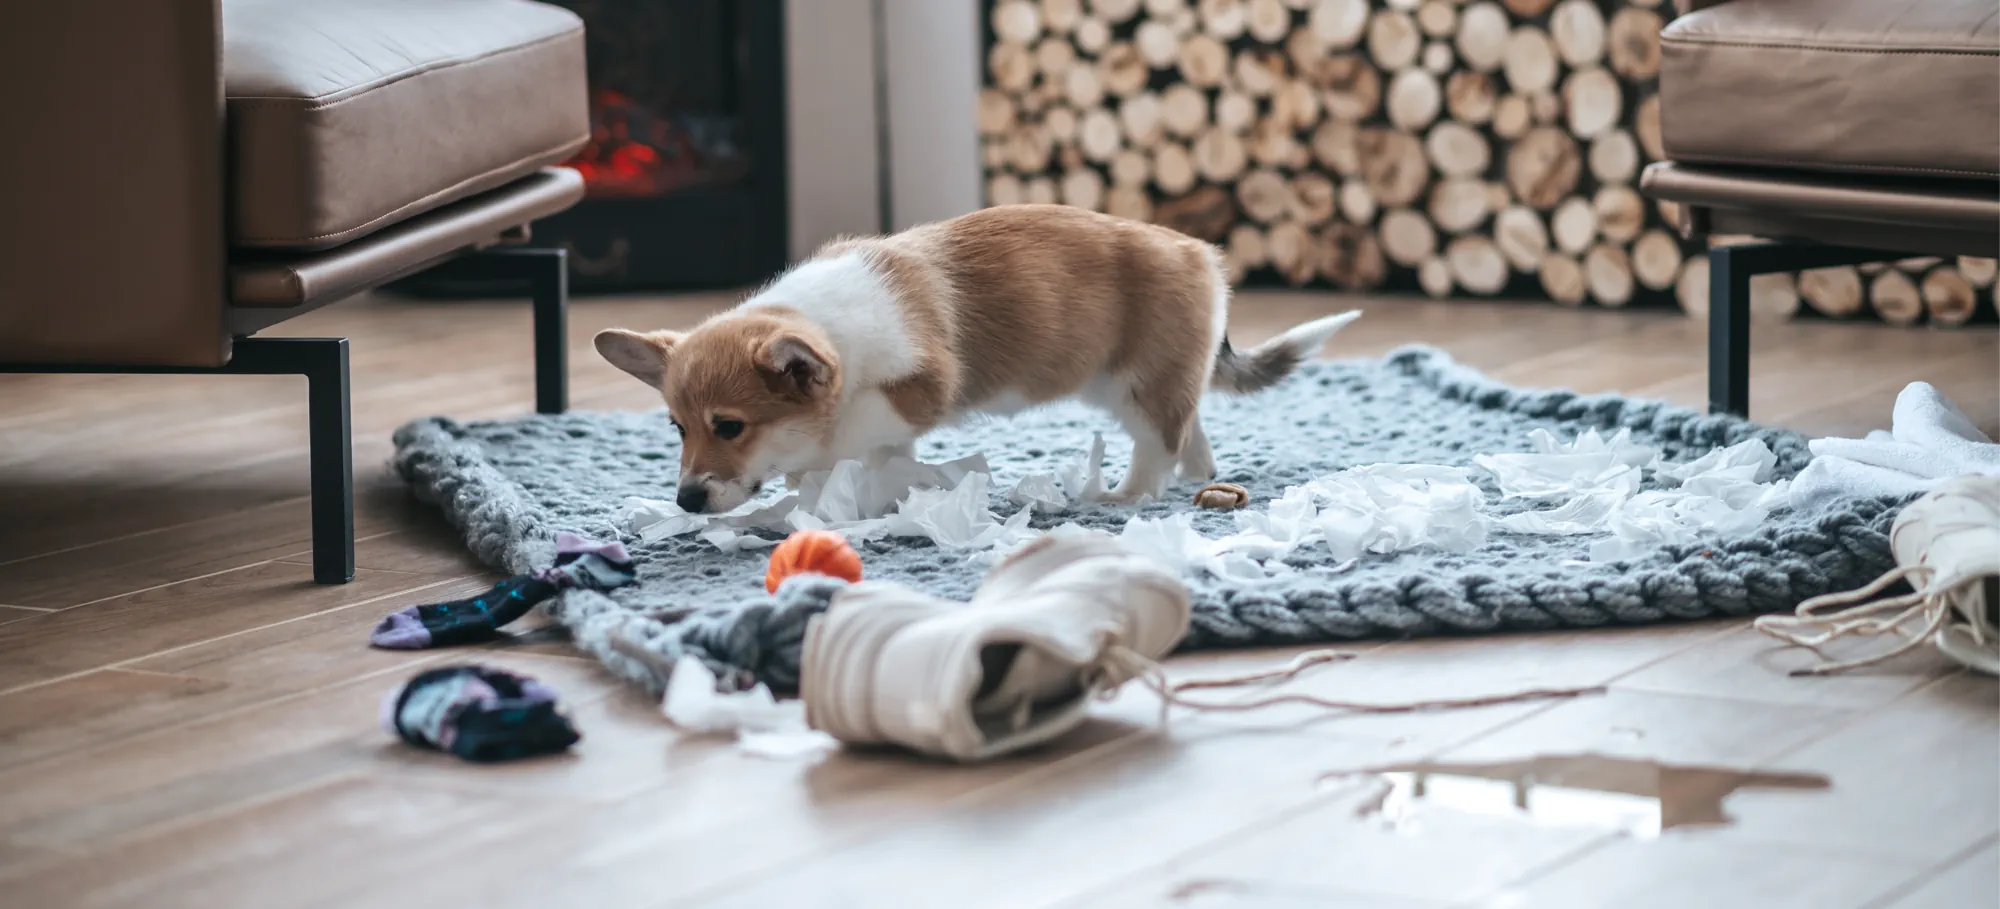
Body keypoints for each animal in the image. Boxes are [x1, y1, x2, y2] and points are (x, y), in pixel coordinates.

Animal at [592, 207, 1360, 516]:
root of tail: (1204, 255)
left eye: (729, 427)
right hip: (1141, 382)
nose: (687, 502)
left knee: (1161, 443)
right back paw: (1199, 478)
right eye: (677, 428)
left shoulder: (919, 386)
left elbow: (852, 429)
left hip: (1138, 385)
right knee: (1192, 429)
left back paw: (1126, 496)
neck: (826, 322)